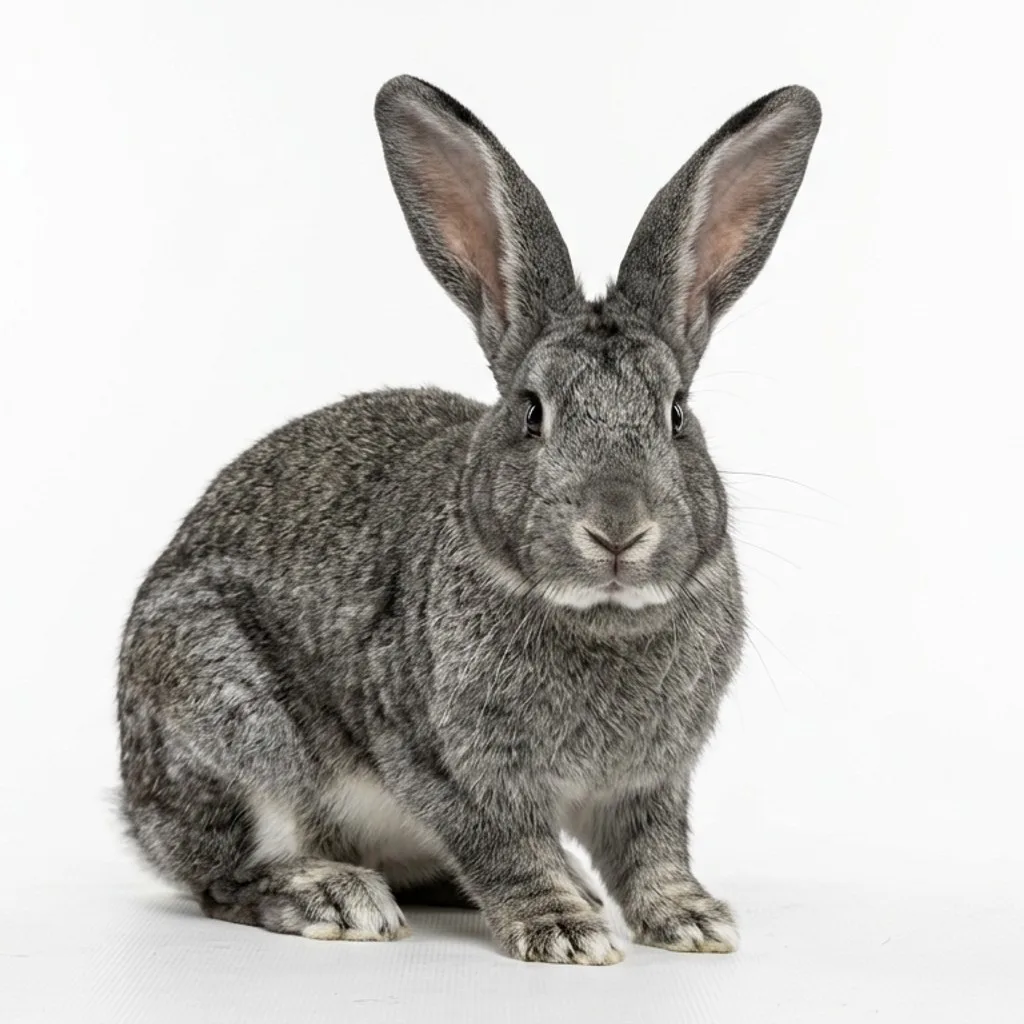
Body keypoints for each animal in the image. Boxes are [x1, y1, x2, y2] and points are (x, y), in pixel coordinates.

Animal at [117, 74, 820, 964]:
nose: (617, 529)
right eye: (531, 412)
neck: (601, 617)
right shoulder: (448, 765)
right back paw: (334, 897)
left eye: (677, 414)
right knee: (225, 876)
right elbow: (507, 849)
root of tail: (134, 809)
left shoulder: (649, 784)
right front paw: (563, 931)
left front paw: (690, 920)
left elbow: (652, 852)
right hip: (228, 721)